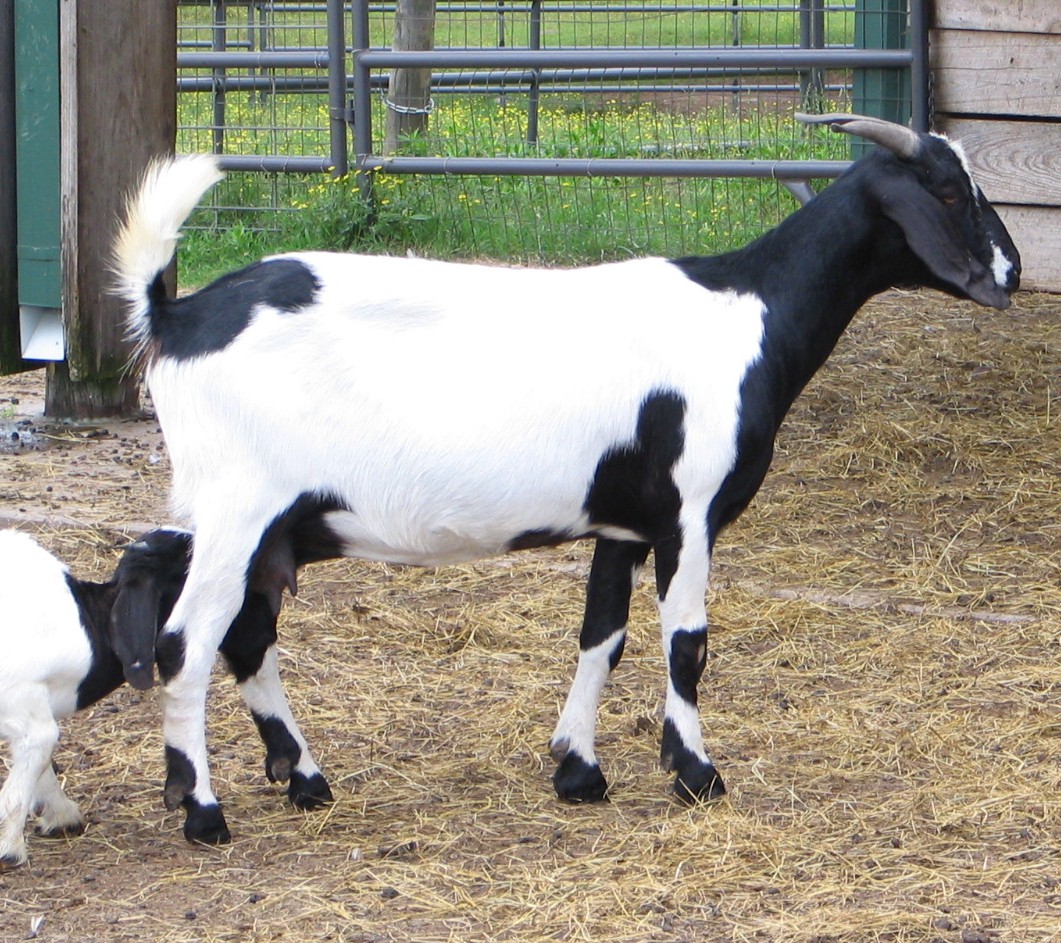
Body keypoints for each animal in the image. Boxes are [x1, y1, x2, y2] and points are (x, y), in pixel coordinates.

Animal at [0, 527, 332, 867]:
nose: (267, 626)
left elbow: (39, 769)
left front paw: (61, 816)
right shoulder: (28, 715)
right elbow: (22, 783)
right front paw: (10, 850)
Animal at [111, 114, 1020, 845]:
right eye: (946, 190)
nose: (1010, 272)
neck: (748, 308)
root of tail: (174, 315)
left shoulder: (621, 520)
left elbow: (601, 636)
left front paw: (577, 768)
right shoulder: (689, 511)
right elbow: (686, 643)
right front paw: (695, 772)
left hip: (265, 526)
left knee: (245, 635)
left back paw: (304, 780)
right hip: (237, 507)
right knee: (185, 642)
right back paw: (203, 812)